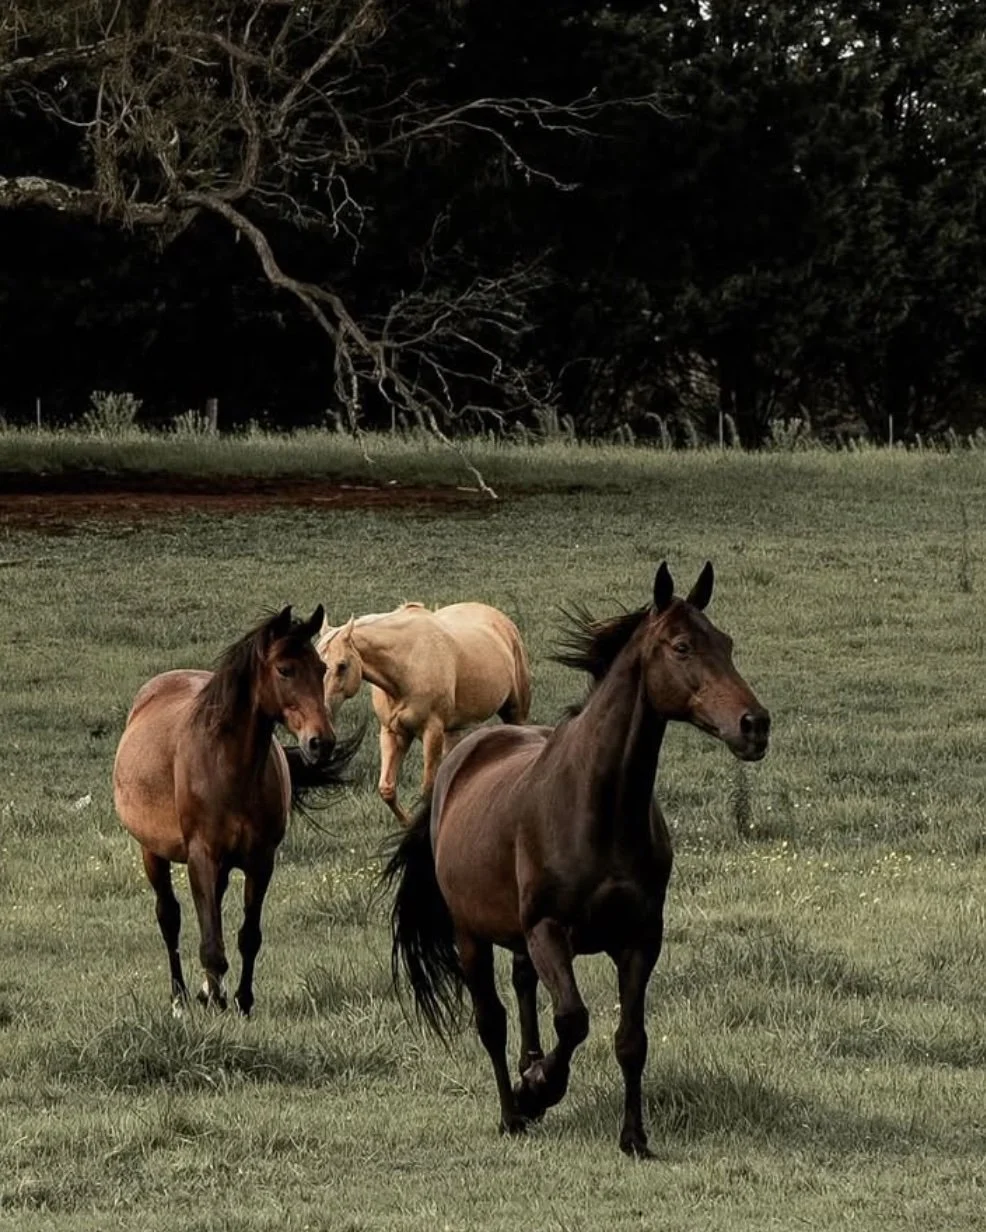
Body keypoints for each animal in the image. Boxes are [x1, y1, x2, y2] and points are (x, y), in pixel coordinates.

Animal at [113, 605, 354, 1016]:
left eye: (321, 668)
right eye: (285, 669)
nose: (320, 743)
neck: (228, 767)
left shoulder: (260, 860)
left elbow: (248, 936)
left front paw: (242, 1000)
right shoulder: (202, 856)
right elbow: (211, 943)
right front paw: (217, 1001)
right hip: (153, 853)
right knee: (169, 918)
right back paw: (179, 998)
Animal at [316, 601, 531, 825]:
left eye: (342, 666)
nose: (323, 711)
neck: (407, 665)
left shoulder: (431, 731)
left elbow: (428, 790)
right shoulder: (392, 732)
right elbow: (387, 788)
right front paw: (407, 825)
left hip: (515, 713)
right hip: (452, 731)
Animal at [385, 562, 770, 1157]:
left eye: (726, 643)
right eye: (682, 646)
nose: (755, 725)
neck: (599, 808)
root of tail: (464, 756)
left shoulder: (640, 938)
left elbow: (631, 1040)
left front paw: (634, 1137)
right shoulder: (549, 930)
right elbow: (573, 1019)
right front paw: (539, 1089)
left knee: (521, 986)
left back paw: (529, 1067)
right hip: (472, 935)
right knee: (491, 1020)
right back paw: (513, 1110)